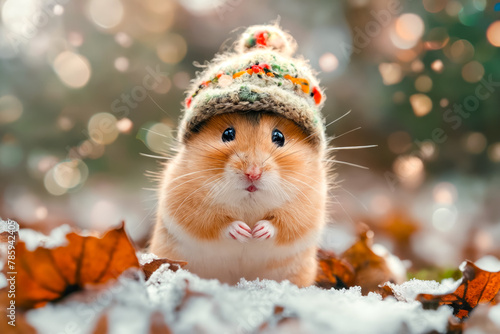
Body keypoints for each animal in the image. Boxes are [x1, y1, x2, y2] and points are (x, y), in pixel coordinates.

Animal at [147, 111, 328, 286]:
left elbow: (282, 224)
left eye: (279, 137)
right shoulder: (189, 206)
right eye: (227, 134)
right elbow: (215, 223)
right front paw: (244, 231)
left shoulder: (305, 208)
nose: (253, 174)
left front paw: (257, 231)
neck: (249, 202)